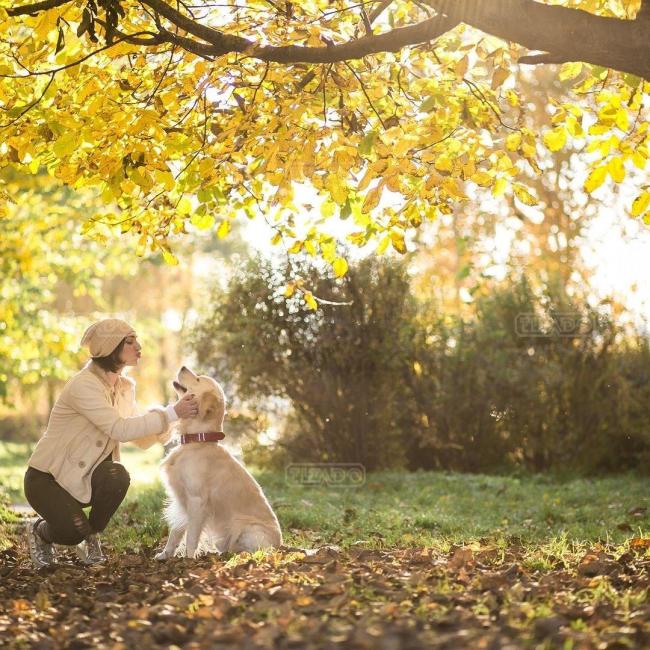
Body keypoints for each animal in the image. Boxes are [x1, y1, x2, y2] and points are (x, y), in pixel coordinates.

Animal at [156, 364, 282, 556]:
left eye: (198, 379)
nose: (183, 366)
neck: (198, 440)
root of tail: (282, 545)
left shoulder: (197, 500)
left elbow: (191, 537)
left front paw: (188, 559)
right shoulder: (181, 500)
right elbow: (175, 533)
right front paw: (165, 555)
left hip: (248, 529)